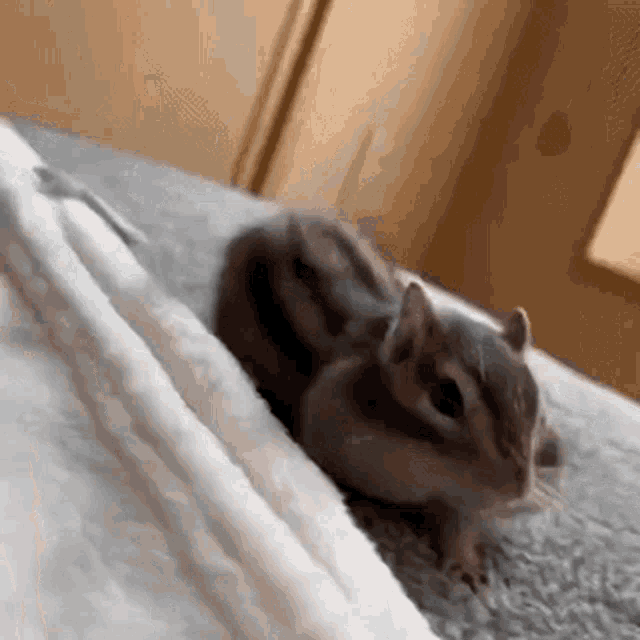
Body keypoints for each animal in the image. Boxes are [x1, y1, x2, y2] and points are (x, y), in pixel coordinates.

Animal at [213, 208, 563, 592]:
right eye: (445, 398)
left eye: (540, 414)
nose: (518, 490)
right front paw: (358, 509)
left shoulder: (460, 499)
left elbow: (462, 519)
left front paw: (465, 561)